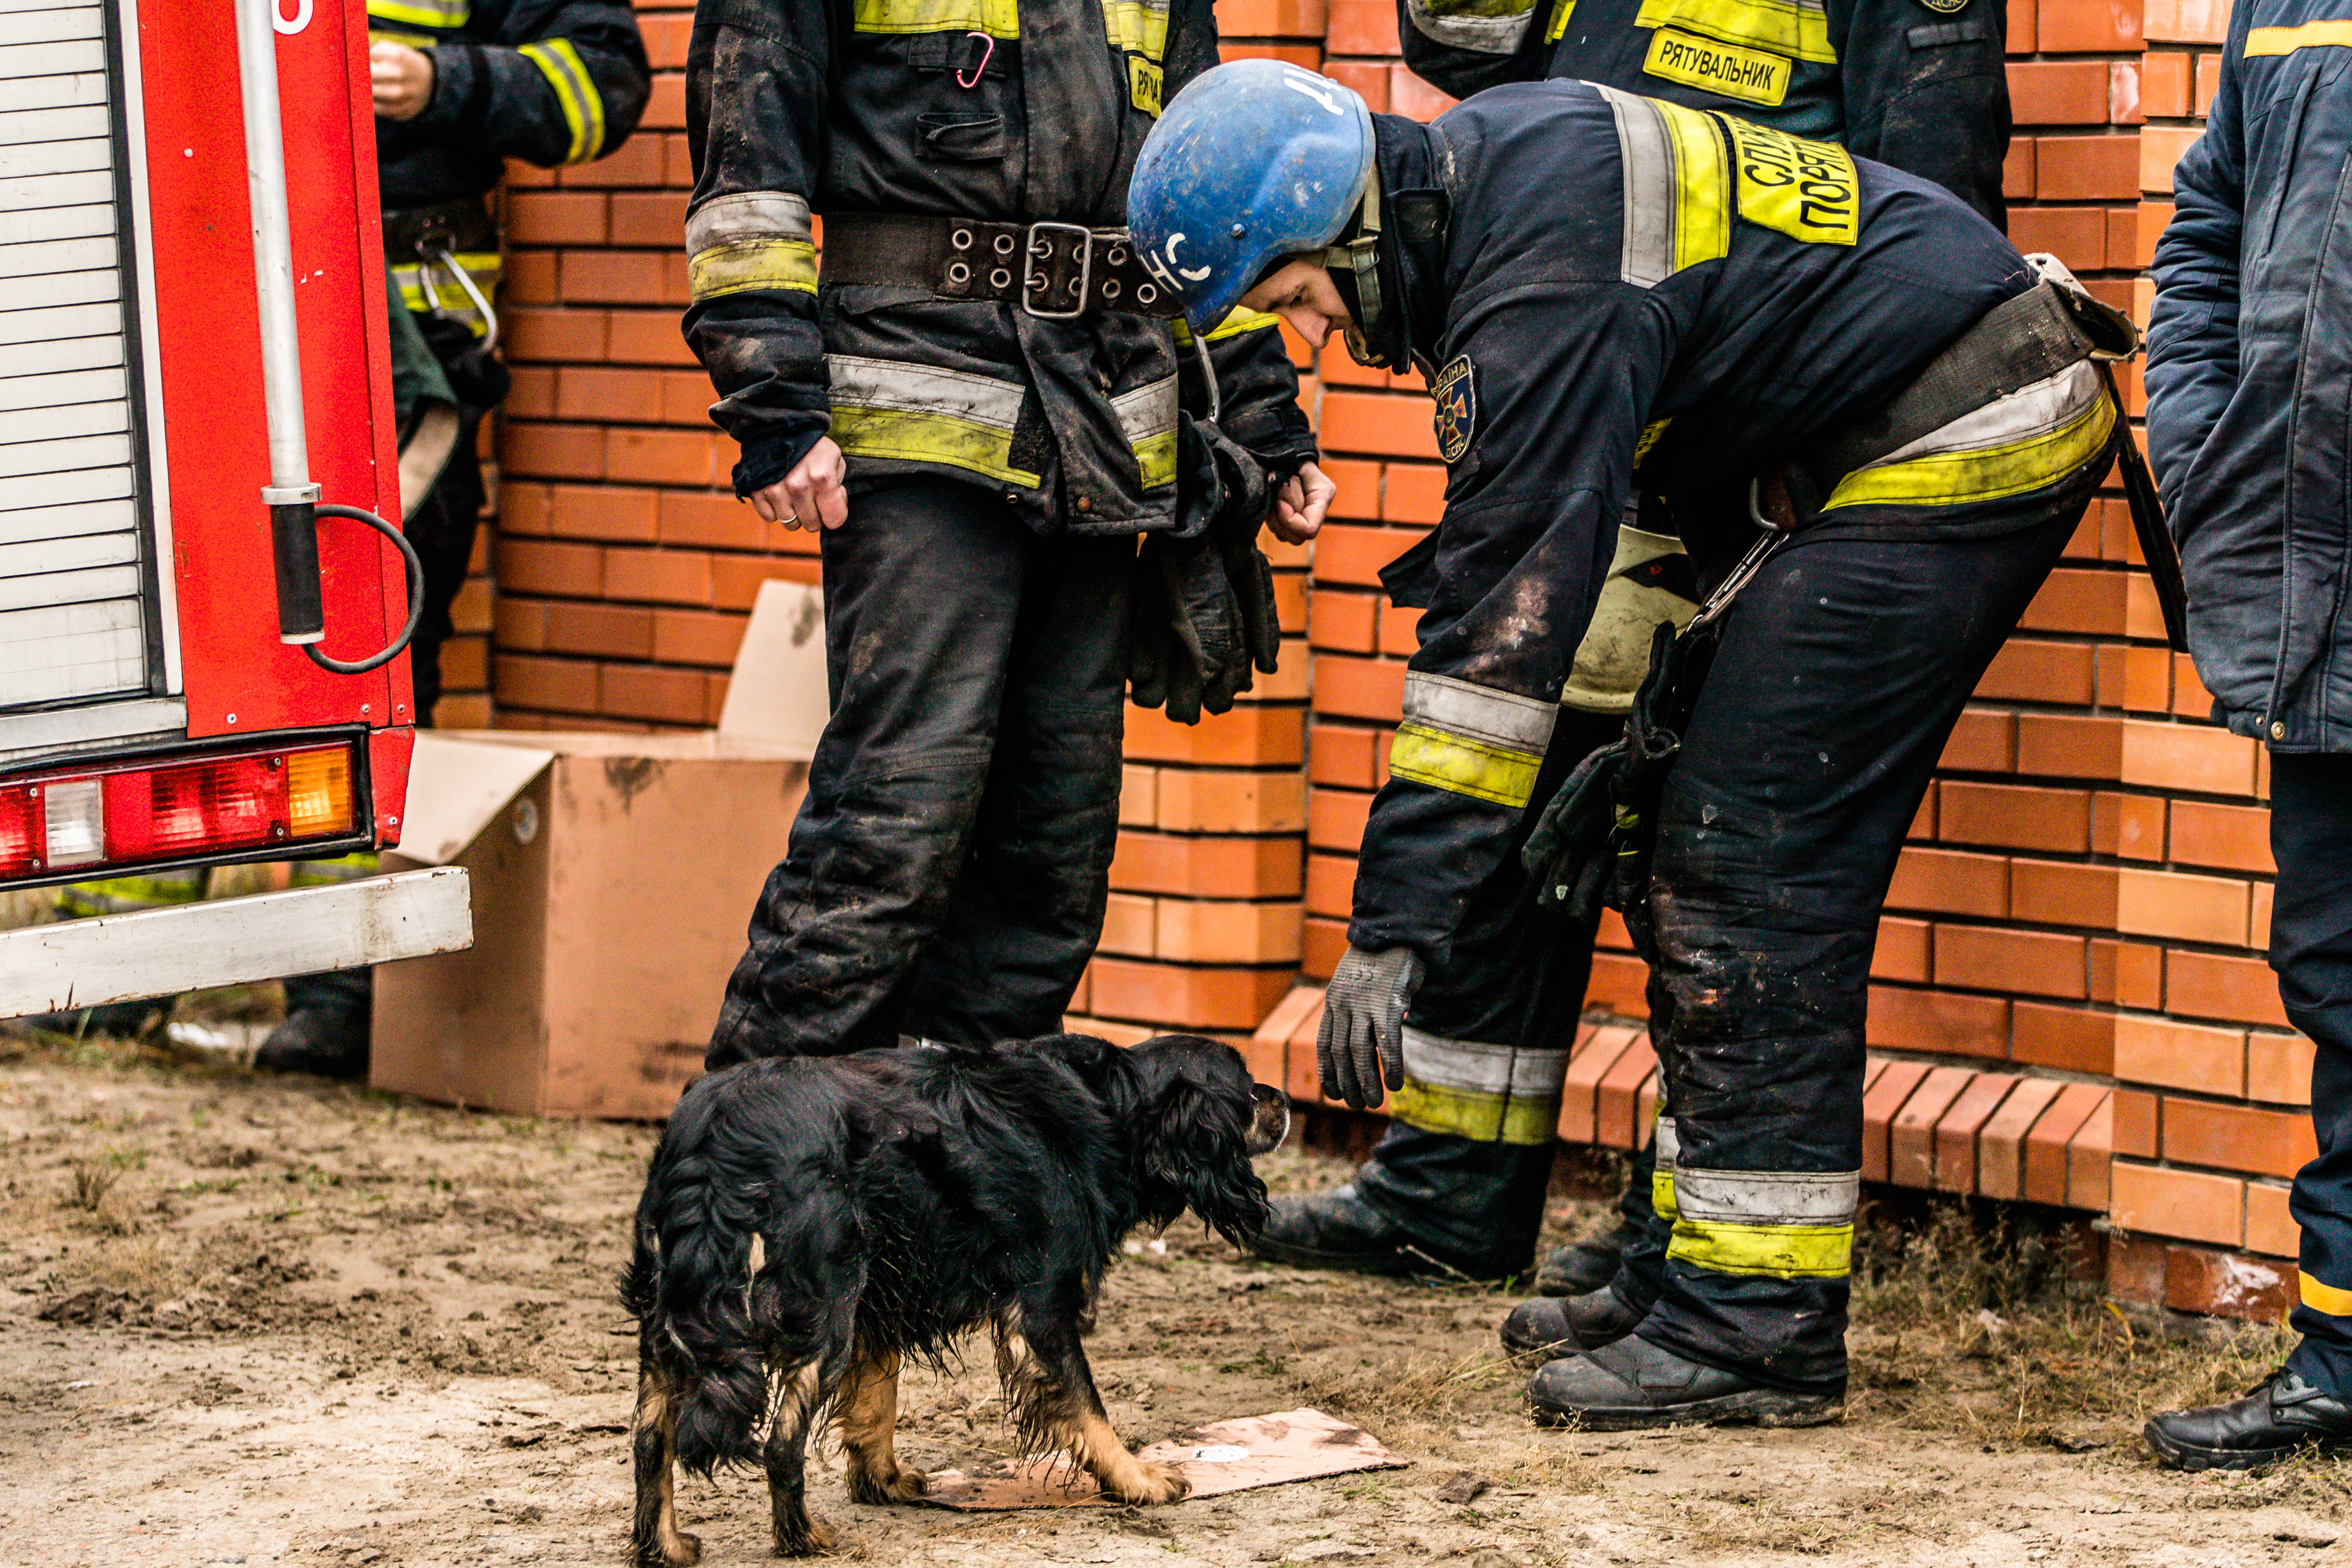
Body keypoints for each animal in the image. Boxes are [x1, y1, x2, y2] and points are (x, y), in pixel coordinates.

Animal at [621, 1034, 1289, 1561]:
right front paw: (1138, 1480)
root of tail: (715, 1136)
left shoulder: (884, 1290)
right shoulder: (1040, 1302)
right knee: (781, 1445)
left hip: (674, 1310)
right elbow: (1088, 1407)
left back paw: (667, 1546)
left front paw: (883, 1481)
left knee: (651, 1439)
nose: (1282, 1097)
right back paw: (803, 1540)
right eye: (1246, 1090)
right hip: (821, 1303)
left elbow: (875, 1403)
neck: (1116, 1108)